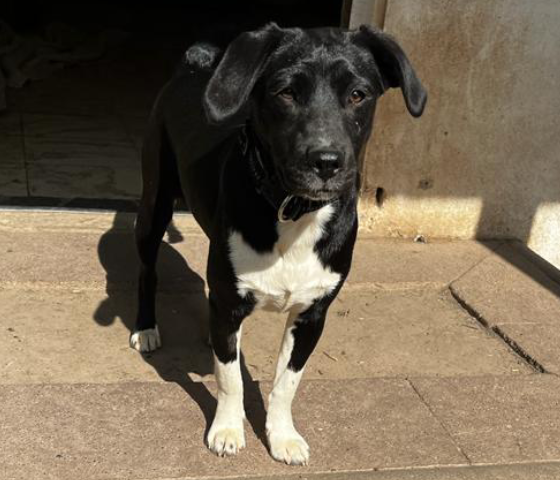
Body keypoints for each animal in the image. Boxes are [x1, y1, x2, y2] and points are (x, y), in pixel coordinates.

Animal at [130, 23, 426, 466]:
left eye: (358, 94)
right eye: (285, 92)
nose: (327, 161)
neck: (293, 210)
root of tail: (193, 67)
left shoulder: (313, 313)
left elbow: (287, 381)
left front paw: (282, 436)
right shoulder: (232, 299)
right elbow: (230, 378)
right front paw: (227, 429)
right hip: (155, 201)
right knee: (148, 270)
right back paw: (147, 327)